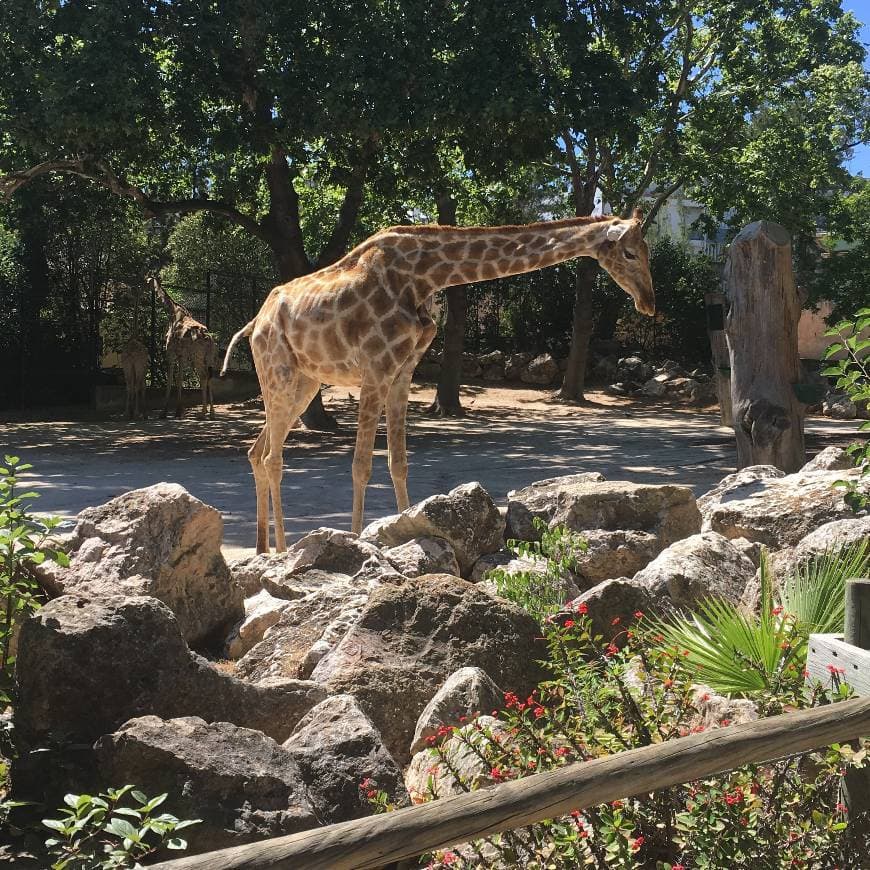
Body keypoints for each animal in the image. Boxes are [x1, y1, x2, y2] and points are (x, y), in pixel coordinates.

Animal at [155, 276, 221, 418]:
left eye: (148, 278)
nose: (144, 281)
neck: (173, 313)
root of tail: (209, 339)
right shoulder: (182, 355)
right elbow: (179, 379)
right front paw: (178, 411)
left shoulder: (171, 352)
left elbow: (172, 379)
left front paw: (166, 412)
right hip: (208, 358)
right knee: (208, 377)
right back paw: (210, 413)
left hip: (197, 357)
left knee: (203, 376)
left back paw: (203, 413)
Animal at [221, 211, 656, 552]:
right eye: (629, 252)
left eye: (647, 251)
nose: (649, 303)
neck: (426, 275)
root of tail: (255, 323)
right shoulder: (375, 368)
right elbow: (361, 465)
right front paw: (358, 543)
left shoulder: (401, 372)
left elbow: (398, 462)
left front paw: (403, 530)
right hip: (277, 373)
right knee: (273, 457)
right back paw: (280, 551)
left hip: (304, 383)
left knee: (256, 451)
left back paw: (262, 549)